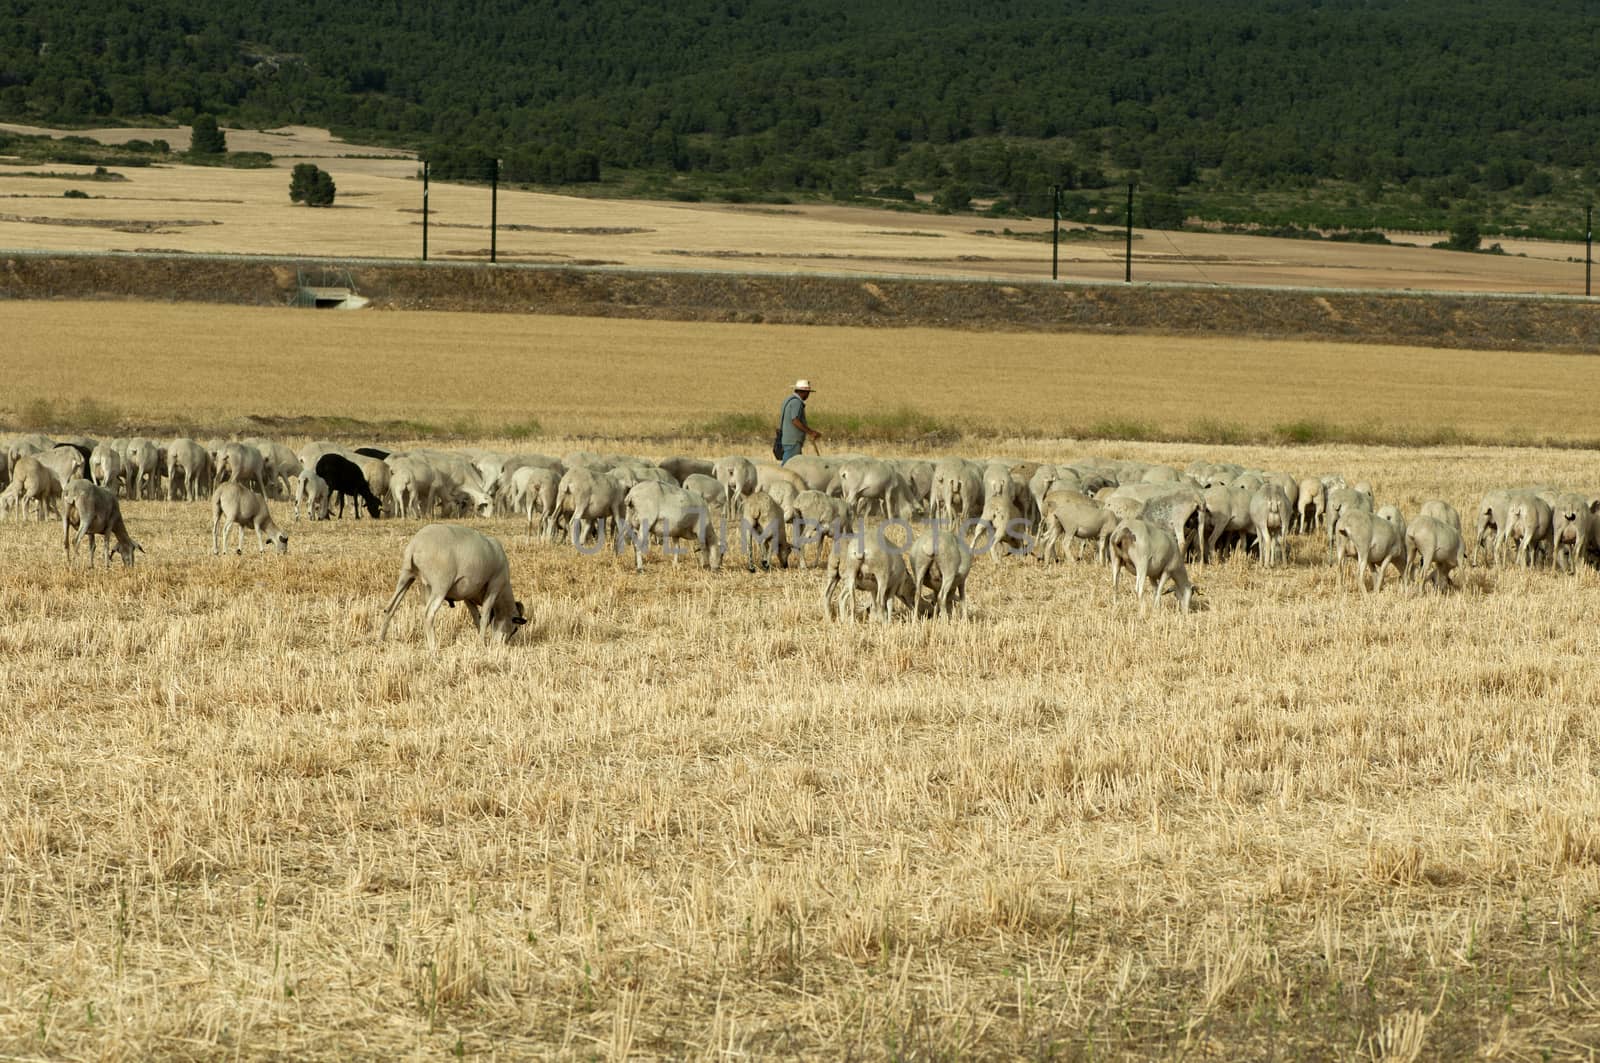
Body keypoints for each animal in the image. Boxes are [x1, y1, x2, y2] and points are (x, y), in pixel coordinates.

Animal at [374, 521, 524, 646]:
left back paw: (380, 640)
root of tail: (415, 545)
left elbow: (477, 617)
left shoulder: (468, 595)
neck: (503, 596)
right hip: (440, 585)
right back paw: (433, 646)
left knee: (390, 608)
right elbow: (485, 617)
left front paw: (479, 639)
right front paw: (482, 643)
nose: (503, 645)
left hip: (407, 576)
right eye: (515, 628)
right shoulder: (494, 586)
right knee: (428, 614)